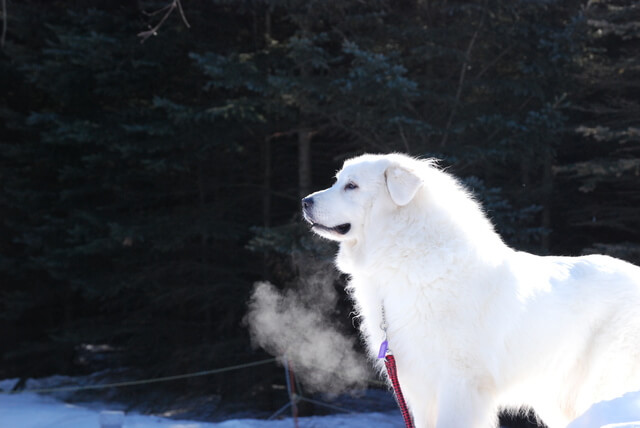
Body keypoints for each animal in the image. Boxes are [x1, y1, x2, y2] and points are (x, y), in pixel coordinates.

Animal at [302, 154, 640, 428]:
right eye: (337, 181)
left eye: (351, 186)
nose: (305, 201)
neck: (406, 257)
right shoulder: (419, 384)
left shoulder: (459, 383)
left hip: (603, 380)